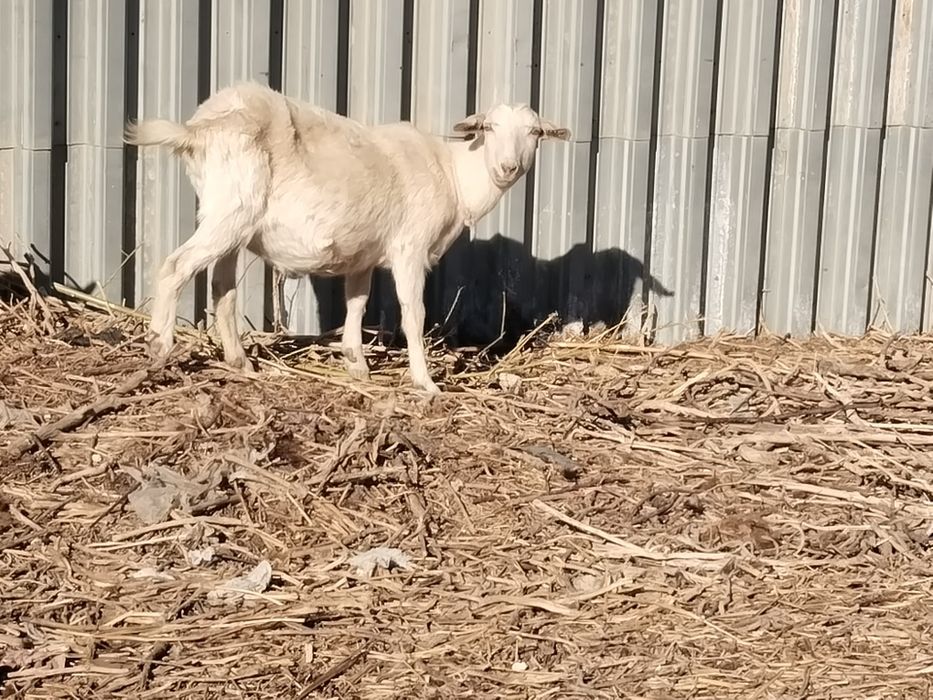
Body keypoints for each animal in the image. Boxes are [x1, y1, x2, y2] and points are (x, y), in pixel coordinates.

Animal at [126, 81, 569, 393]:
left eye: (534, 132)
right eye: (489, 128)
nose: (508, 167)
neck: (454, 175)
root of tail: (197, 129)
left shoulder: (365, 254)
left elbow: (357, 303)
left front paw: (356, 363)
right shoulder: (409, 248)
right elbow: (413, 314)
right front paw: (425, 382)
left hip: (231, 216)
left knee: (222, 286)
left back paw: (240, 361)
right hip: (231, 206)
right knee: (175, 266)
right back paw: (159, 345)